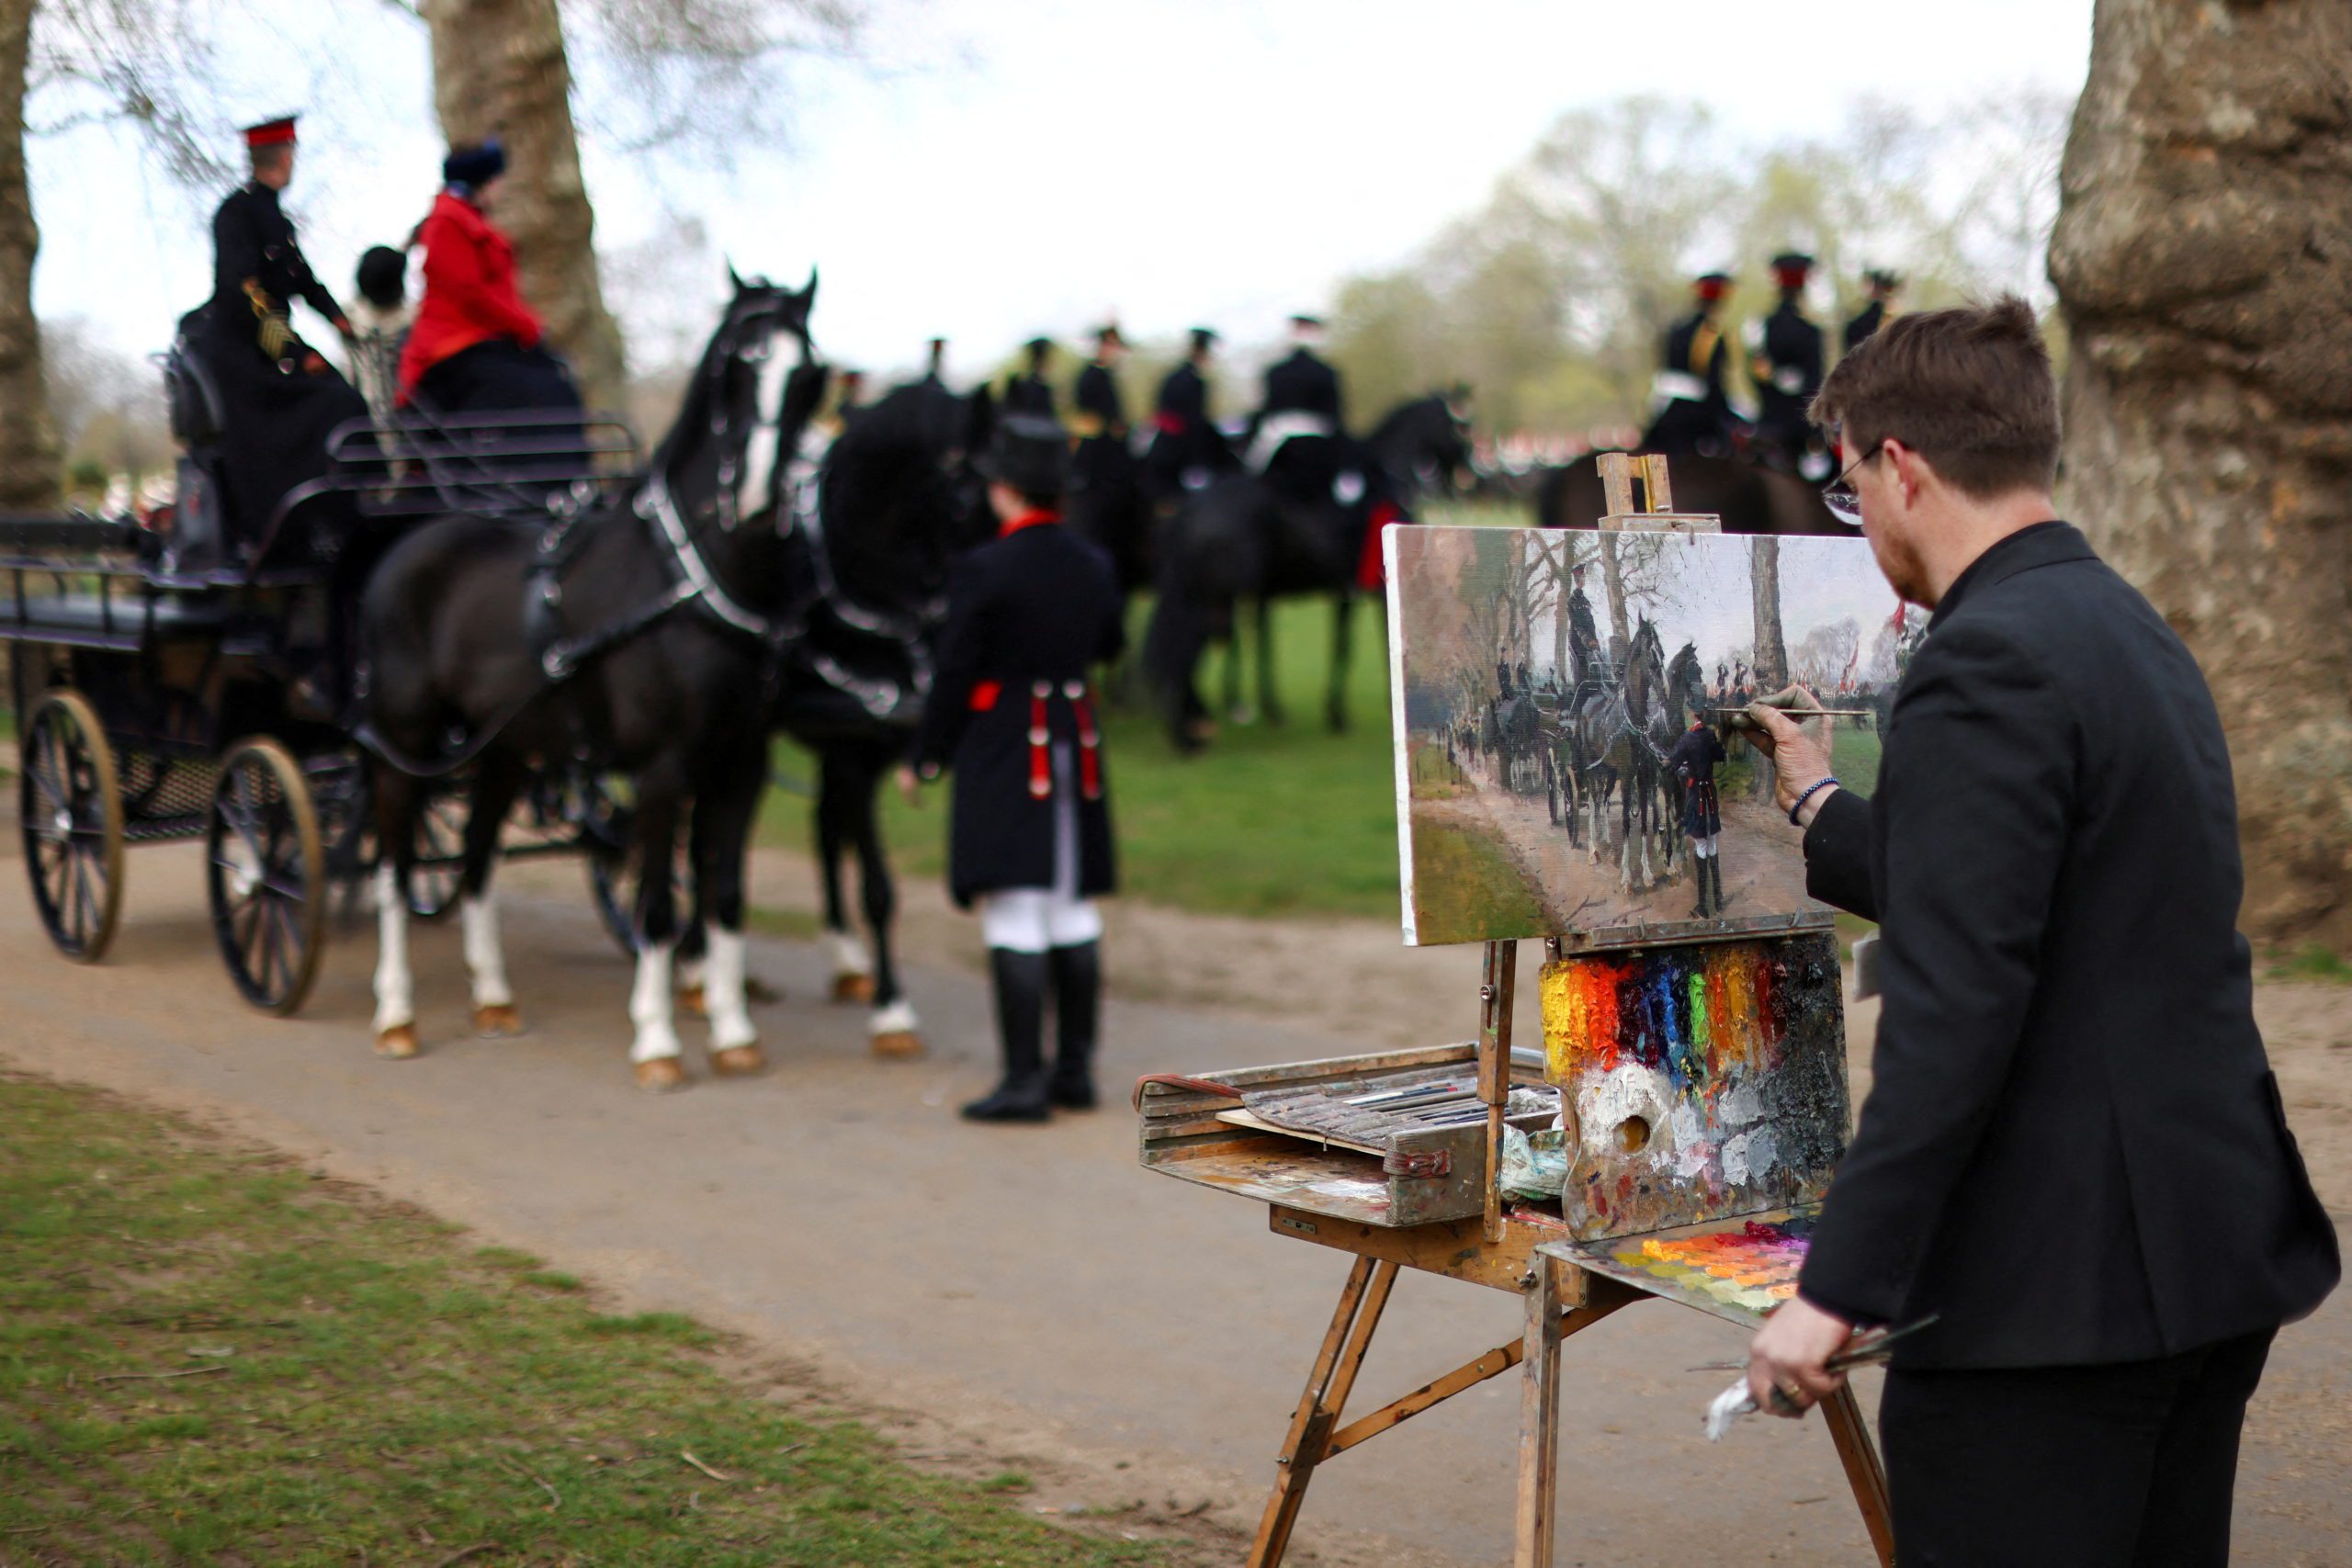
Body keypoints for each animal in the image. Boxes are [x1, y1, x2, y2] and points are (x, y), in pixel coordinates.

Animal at [353, 272, 823, 1090]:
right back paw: (396, 1013)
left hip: (501, 749)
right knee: (392, 866)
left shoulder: (742, 765)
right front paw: (658, 1039)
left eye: (806, 375)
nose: (761, 497)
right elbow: (660, 903)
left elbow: (726, 896)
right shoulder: (665, 768)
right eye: (735, 368)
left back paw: (493, 997)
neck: (692, 582)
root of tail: (410, 541)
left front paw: (733, 1030)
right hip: (404, 740)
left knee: (476, 858)